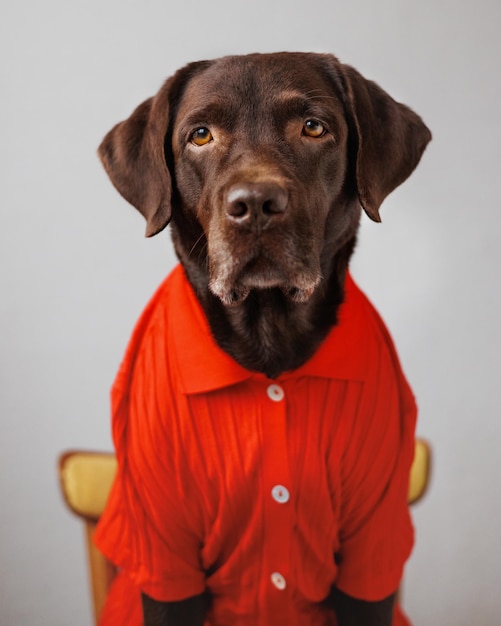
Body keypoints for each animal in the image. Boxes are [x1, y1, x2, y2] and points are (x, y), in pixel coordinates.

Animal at [94, 53, 430, 624]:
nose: (255, 204)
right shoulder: (163, 554)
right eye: (200, 135)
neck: (268, 335)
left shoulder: (374, 543)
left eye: (314, 127)